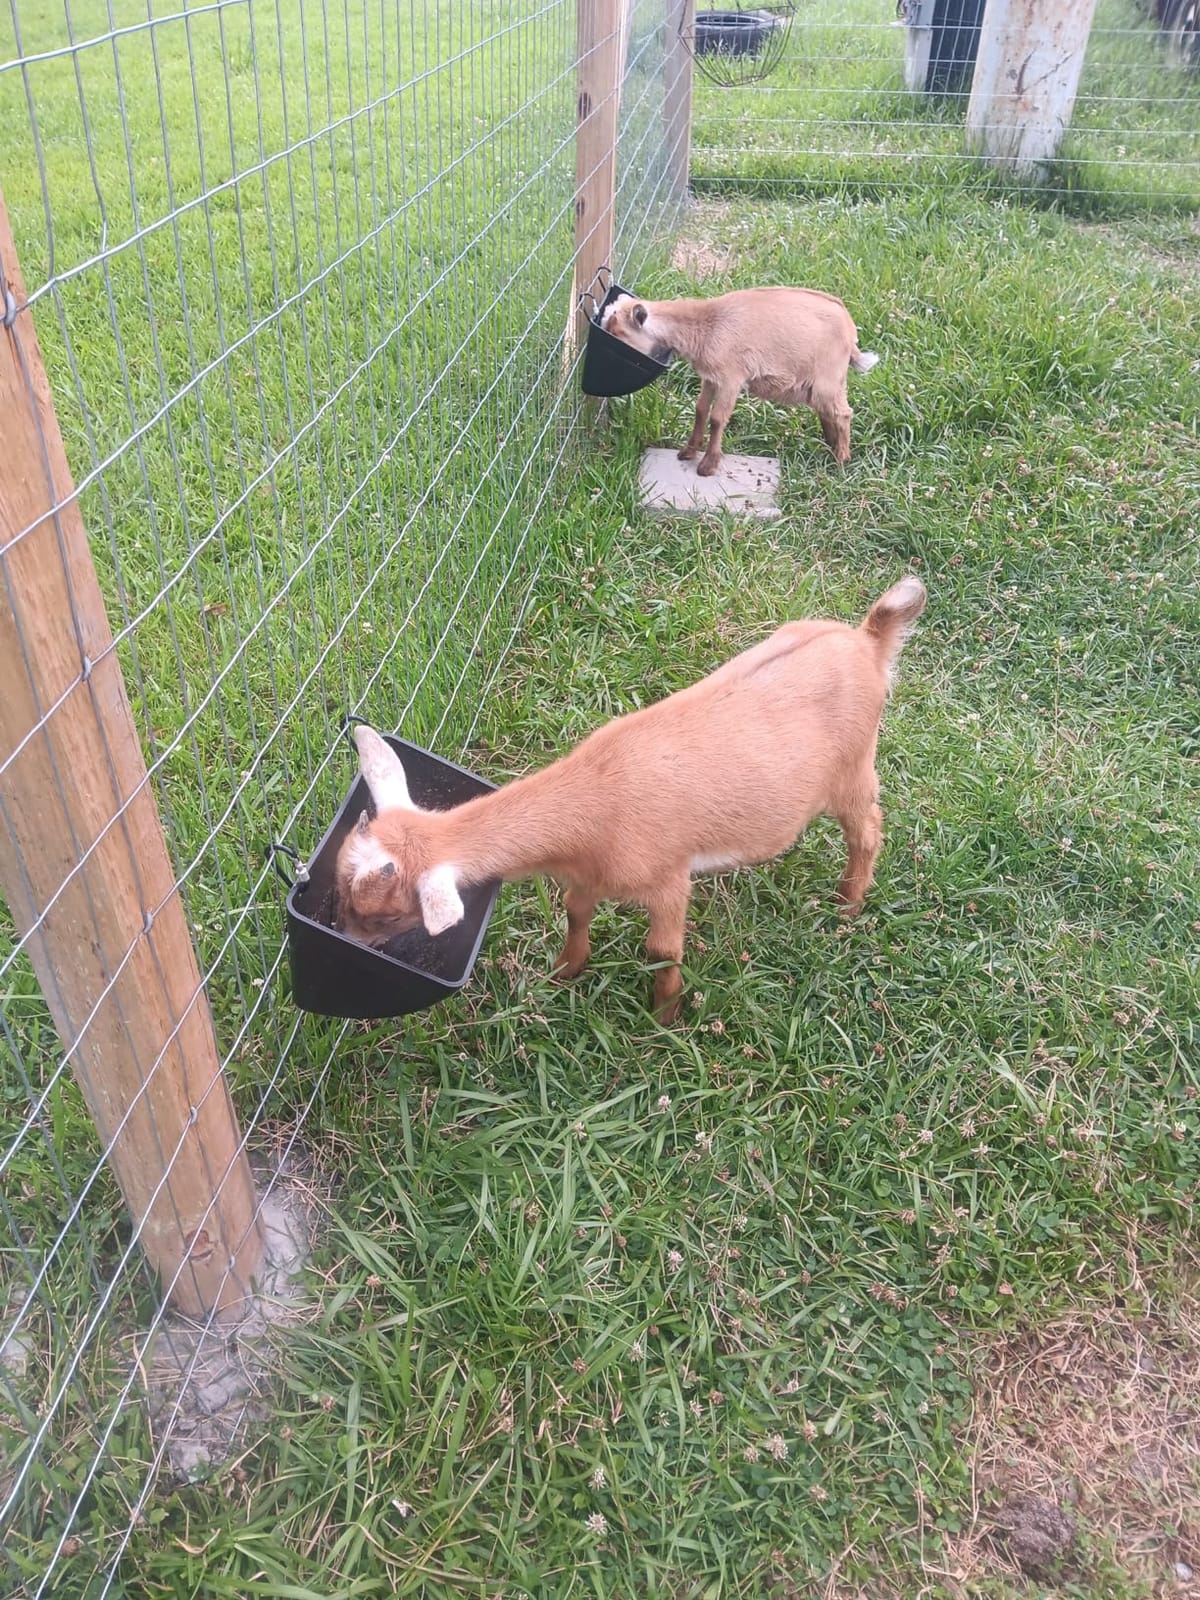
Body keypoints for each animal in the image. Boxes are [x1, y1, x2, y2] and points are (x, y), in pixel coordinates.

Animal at [335, 576, 926, 1024]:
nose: (348, 939)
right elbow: (574, 911)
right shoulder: (587, 873)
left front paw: (665, 1019)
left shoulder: (667, 878)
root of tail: (867, 639)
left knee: (868, 829)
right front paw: (564, 972)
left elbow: (662, 951)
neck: (596, 801)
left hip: (854, 766)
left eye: (387, 916)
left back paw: (847, 905)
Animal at [600, 286, 879, 477]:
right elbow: (701, 410)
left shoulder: (731, 378)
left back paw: (841, 459)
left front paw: (708, 466)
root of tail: (850, 330)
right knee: (829, 412)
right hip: (824, 383)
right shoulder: (710, 378)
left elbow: (717, 418)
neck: (707, 324)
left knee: (843, 413)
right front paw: (687, 452)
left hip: (827, 379)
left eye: (619, 330)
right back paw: (831, 446)